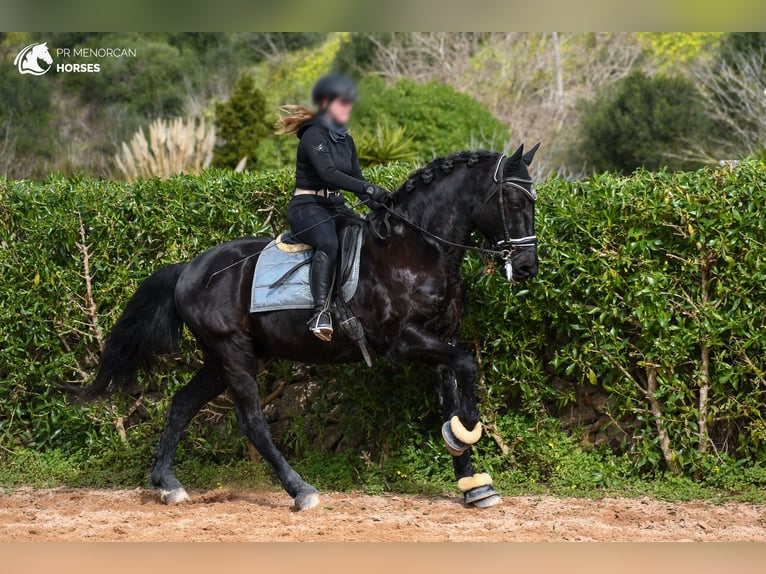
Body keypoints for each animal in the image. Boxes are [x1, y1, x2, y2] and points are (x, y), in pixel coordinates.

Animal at [81, 145, 544, 512]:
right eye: (512, 200)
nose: (525, 268)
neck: (417, 248)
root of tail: (188, 269)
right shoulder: (405, 341)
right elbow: (467, 365)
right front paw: (467, 430)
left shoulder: (438, 340)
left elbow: (452, 392)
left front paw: (471, 482)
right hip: (233, 353)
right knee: (252, 422)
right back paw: (300, 490)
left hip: (221, 358)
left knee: (181, 404)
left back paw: (168, 485)